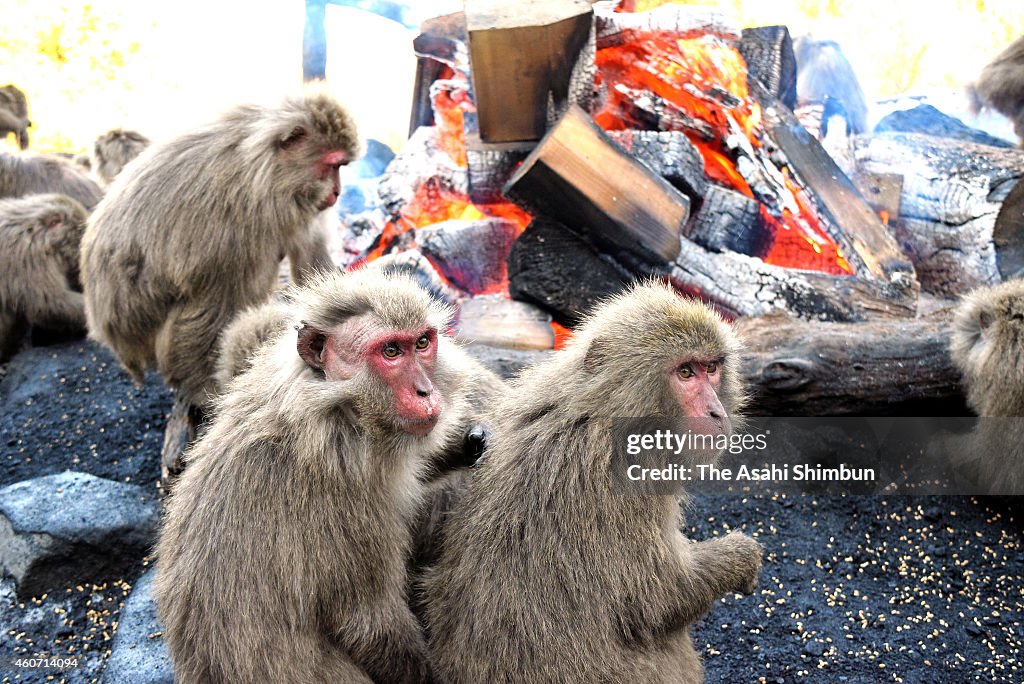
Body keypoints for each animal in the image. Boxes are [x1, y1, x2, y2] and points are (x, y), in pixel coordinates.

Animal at [421, 280, 761, 679]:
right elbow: (656, 600)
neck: (599, 411)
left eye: (712, 368)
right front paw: (742, 556)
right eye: (686, 373)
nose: (716, 412)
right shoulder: (627, 479)